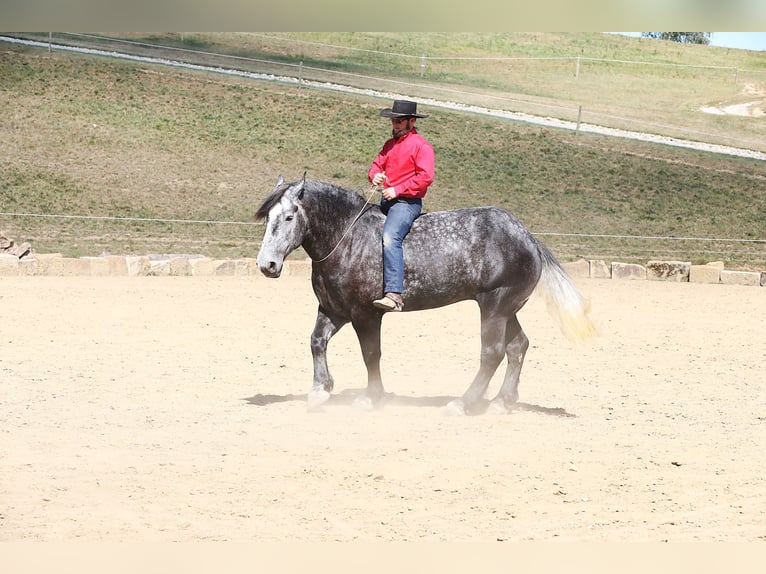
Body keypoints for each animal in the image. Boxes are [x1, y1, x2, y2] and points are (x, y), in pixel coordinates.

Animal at [255, 173, 596, 416]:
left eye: (289, 217)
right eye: (268, 217)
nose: (266, 264)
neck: (348, 239)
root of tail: (527, 236)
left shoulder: (366, 314)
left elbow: (371, 354)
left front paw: (371, 398)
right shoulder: (333, 309)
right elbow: (316, 342)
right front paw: (320, 390)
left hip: (495, 307)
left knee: (493, 353)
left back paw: (464, 403)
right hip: (507, 309)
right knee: (517, 347)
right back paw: (502, 401)